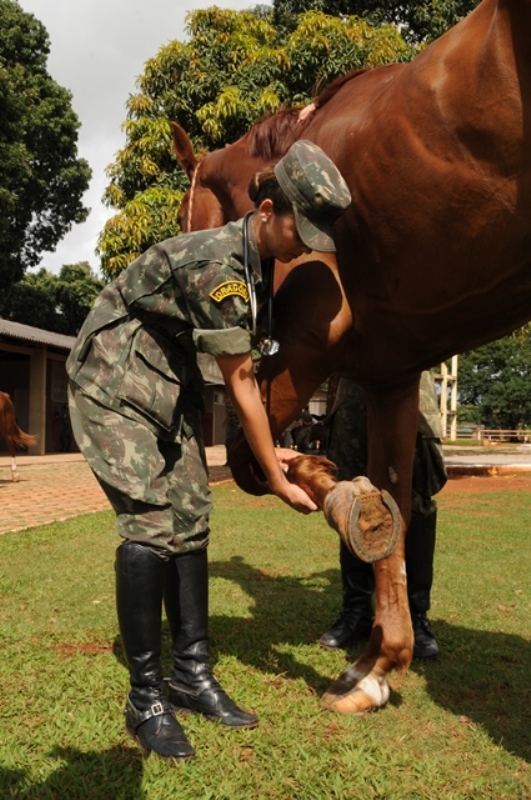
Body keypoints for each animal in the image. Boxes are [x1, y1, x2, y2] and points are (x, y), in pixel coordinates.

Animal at [170, 0, 531, 712]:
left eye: (180, 212)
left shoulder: (310, 344)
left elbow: (254, 462)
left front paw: (339, 496)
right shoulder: (390, 374)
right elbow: (392, 499)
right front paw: (376, 665)